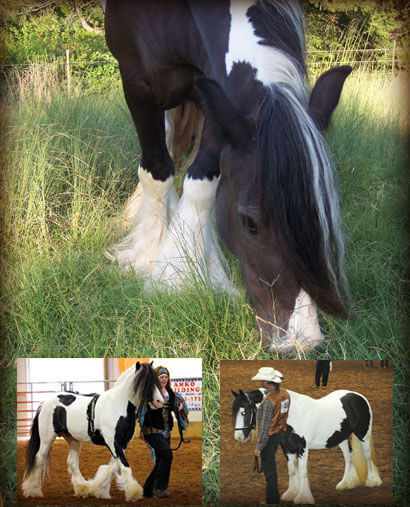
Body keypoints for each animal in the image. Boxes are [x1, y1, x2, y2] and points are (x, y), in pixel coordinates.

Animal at [22, 364, 163, 502]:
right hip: (47, 438)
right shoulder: (113, 443)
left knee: (72, 463)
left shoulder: (122, 444)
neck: (117, 405)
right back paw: (34, 491)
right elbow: (124, 466)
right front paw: (133, 493)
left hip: (73, 439)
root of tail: (45, 403)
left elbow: (113, 468)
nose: (160, 401)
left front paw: (100, 490)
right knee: (39, 458)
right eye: (146, 382)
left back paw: (82, 489)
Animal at [102, 0, 352, 356]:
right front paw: (156, 266)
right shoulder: (138, 83)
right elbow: (158, 170)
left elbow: (203, 180)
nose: (299, 342)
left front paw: (193, 272)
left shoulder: (212, 98)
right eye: (249, 223)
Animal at [232, 388, 382, 504]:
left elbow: (303, 471)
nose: (239, 437)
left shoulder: (302, 448)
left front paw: (303, 497)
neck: (290, 415)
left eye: (245, 412)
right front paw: (291, 494)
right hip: (342, 438)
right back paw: (346, 483)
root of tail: (359, 396)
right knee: (349, 456)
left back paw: (372, 481)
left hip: (363, 435)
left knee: (368, 456)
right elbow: (292, 470)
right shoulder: (288, 449)